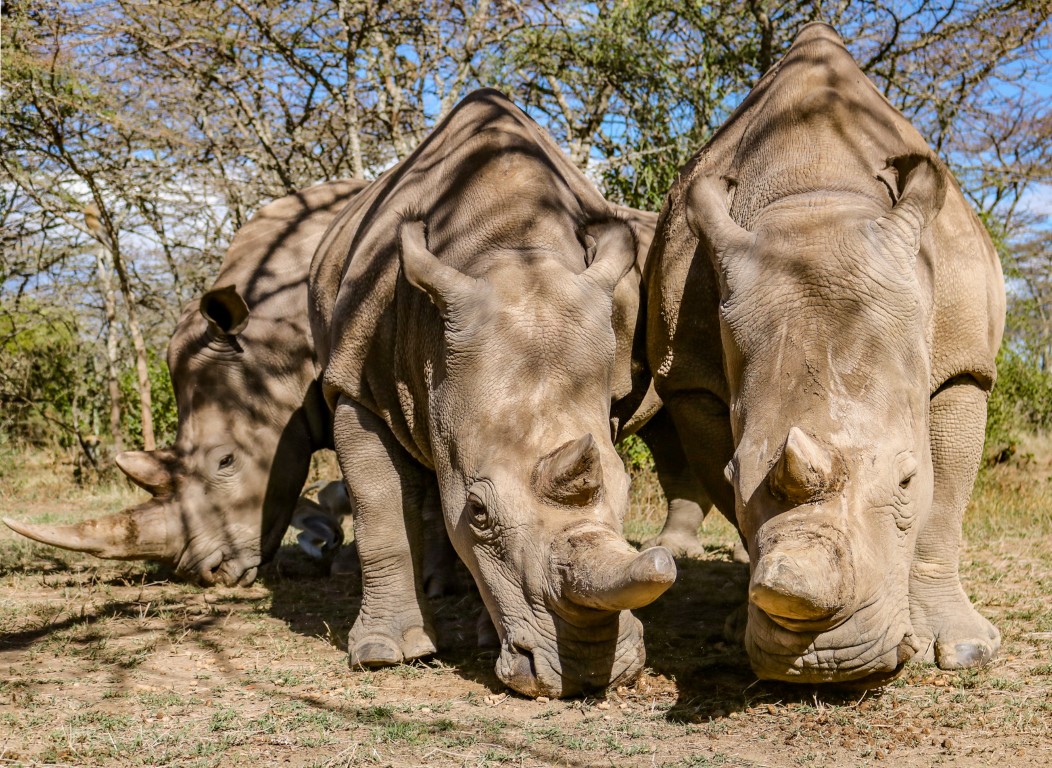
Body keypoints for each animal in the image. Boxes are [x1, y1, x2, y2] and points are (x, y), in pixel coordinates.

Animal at [307, 88, 677, 694]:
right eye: (478, 512)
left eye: (627, 492)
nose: (587, 677)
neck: (509, 249)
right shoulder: (356, 384)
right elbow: (379, 508)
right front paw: (384, 654)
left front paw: (486, 637)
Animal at [648, 25, 1001, 681]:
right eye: (735, 473)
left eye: (907, 479)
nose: (825, 662)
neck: (815, 198)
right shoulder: (690, 379)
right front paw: (738, 629)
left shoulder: (964, 365)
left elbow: (944, 505)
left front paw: (965, 650)